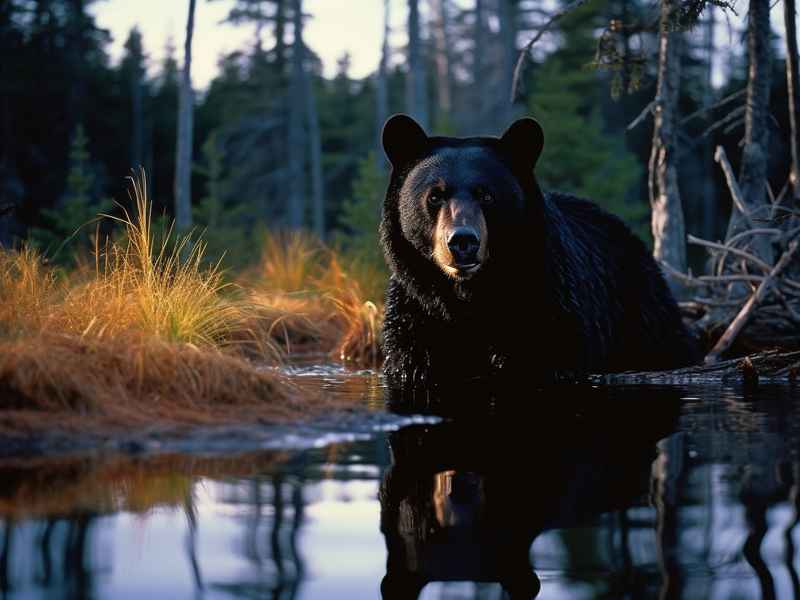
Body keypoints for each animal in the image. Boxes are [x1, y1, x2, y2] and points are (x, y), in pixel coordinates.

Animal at [379, 114, 698, 386]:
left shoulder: (549, 305)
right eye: (435, 196)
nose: (462, 241)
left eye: (486, 195)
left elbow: (544, 357)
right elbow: (414, 361)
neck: (472, 297)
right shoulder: (416, 318)